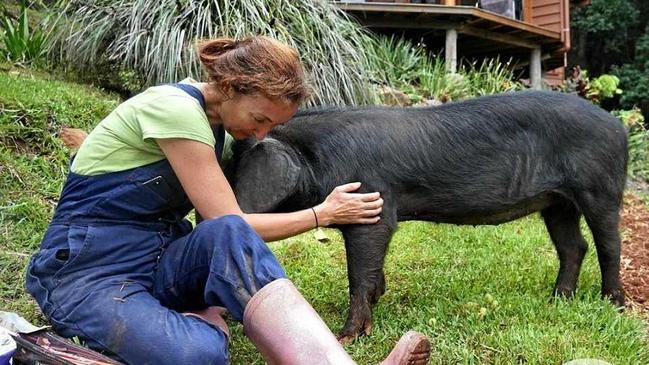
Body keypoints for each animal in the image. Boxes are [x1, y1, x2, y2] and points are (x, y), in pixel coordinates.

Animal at [228, 90, 628, 342]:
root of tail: (618, 126)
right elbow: (372, 271)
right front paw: (378, 300)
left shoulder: (374, 208)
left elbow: (358, 273)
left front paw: (348, 336)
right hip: (557, 203)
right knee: (574, 247)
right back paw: (557, 299)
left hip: (600, 188)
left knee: (609, 244)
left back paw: (613, 303)